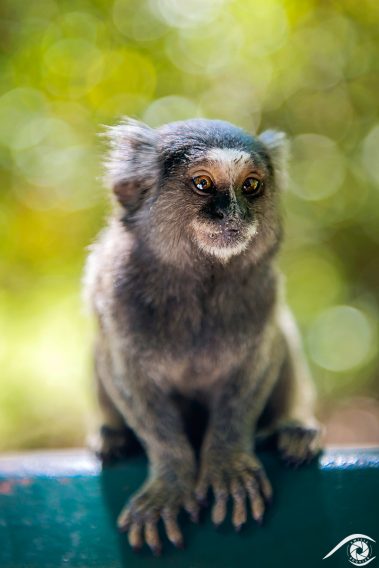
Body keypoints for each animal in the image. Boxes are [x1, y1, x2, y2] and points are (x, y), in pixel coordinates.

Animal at [84, 117, 322, 556]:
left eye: (250, 185)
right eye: (203, 184)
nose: (234, 214)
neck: (199, 280)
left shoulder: (263, 296)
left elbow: (258, 365)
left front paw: (227, 464)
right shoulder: (115, 299)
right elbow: (128, 380)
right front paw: (171, 480)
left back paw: (292, 430)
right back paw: (112, 436)